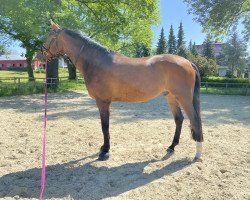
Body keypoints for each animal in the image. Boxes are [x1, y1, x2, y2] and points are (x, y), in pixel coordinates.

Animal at [40, 20, 203, 161]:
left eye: (50, 36)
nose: (39, 55)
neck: (96, 62)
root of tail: (188, 62)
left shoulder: (103, 102)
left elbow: (105, 126)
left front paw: (105, 151)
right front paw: (103, 148)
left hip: (184, 98)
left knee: (194, 119)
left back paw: (197, 154)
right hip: (170, 97)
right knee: (179, 119)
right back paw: (171, 147)